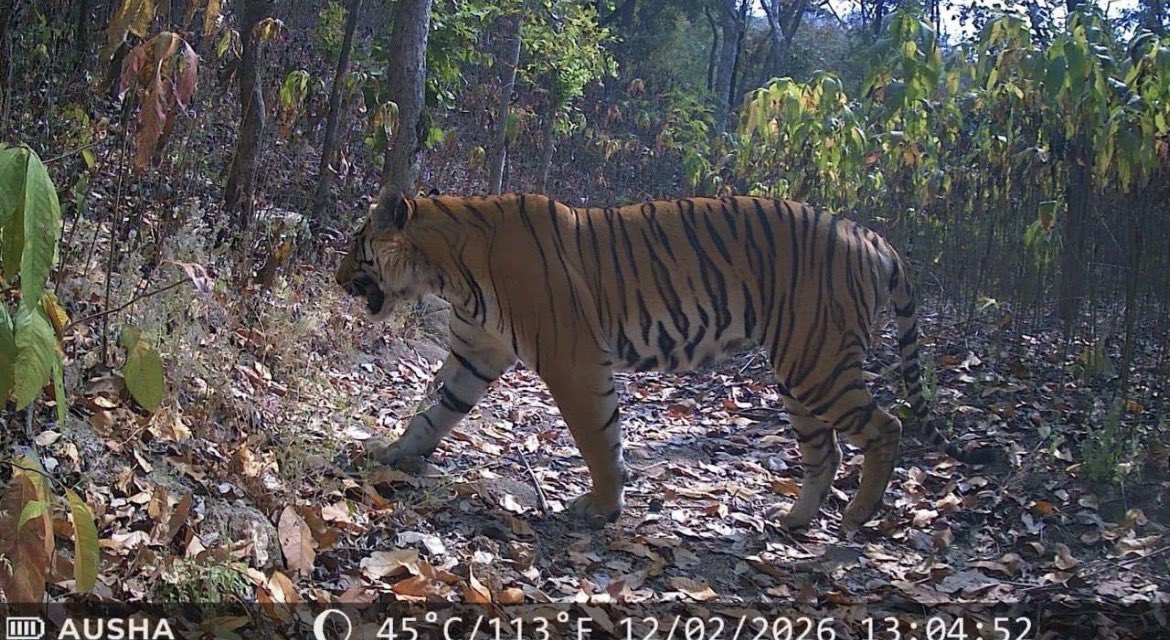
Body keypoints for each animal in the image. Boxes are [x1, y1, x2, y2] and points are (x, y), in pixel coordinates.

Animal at [335, 190, 992, 532]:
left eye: (355, 246)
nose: (338, 279)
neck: (445, 270)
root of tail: (874, 238)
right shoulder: (475, 353)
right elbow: (433, 412)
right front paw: (390, 454)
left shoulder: (573, 360)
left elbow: (599, 439)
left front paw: (602, 506)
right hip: (800, 373)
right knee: (825, 451)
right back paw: (794, 520)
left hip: (820, 363)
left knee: (888, 426)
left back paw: (857, 515)